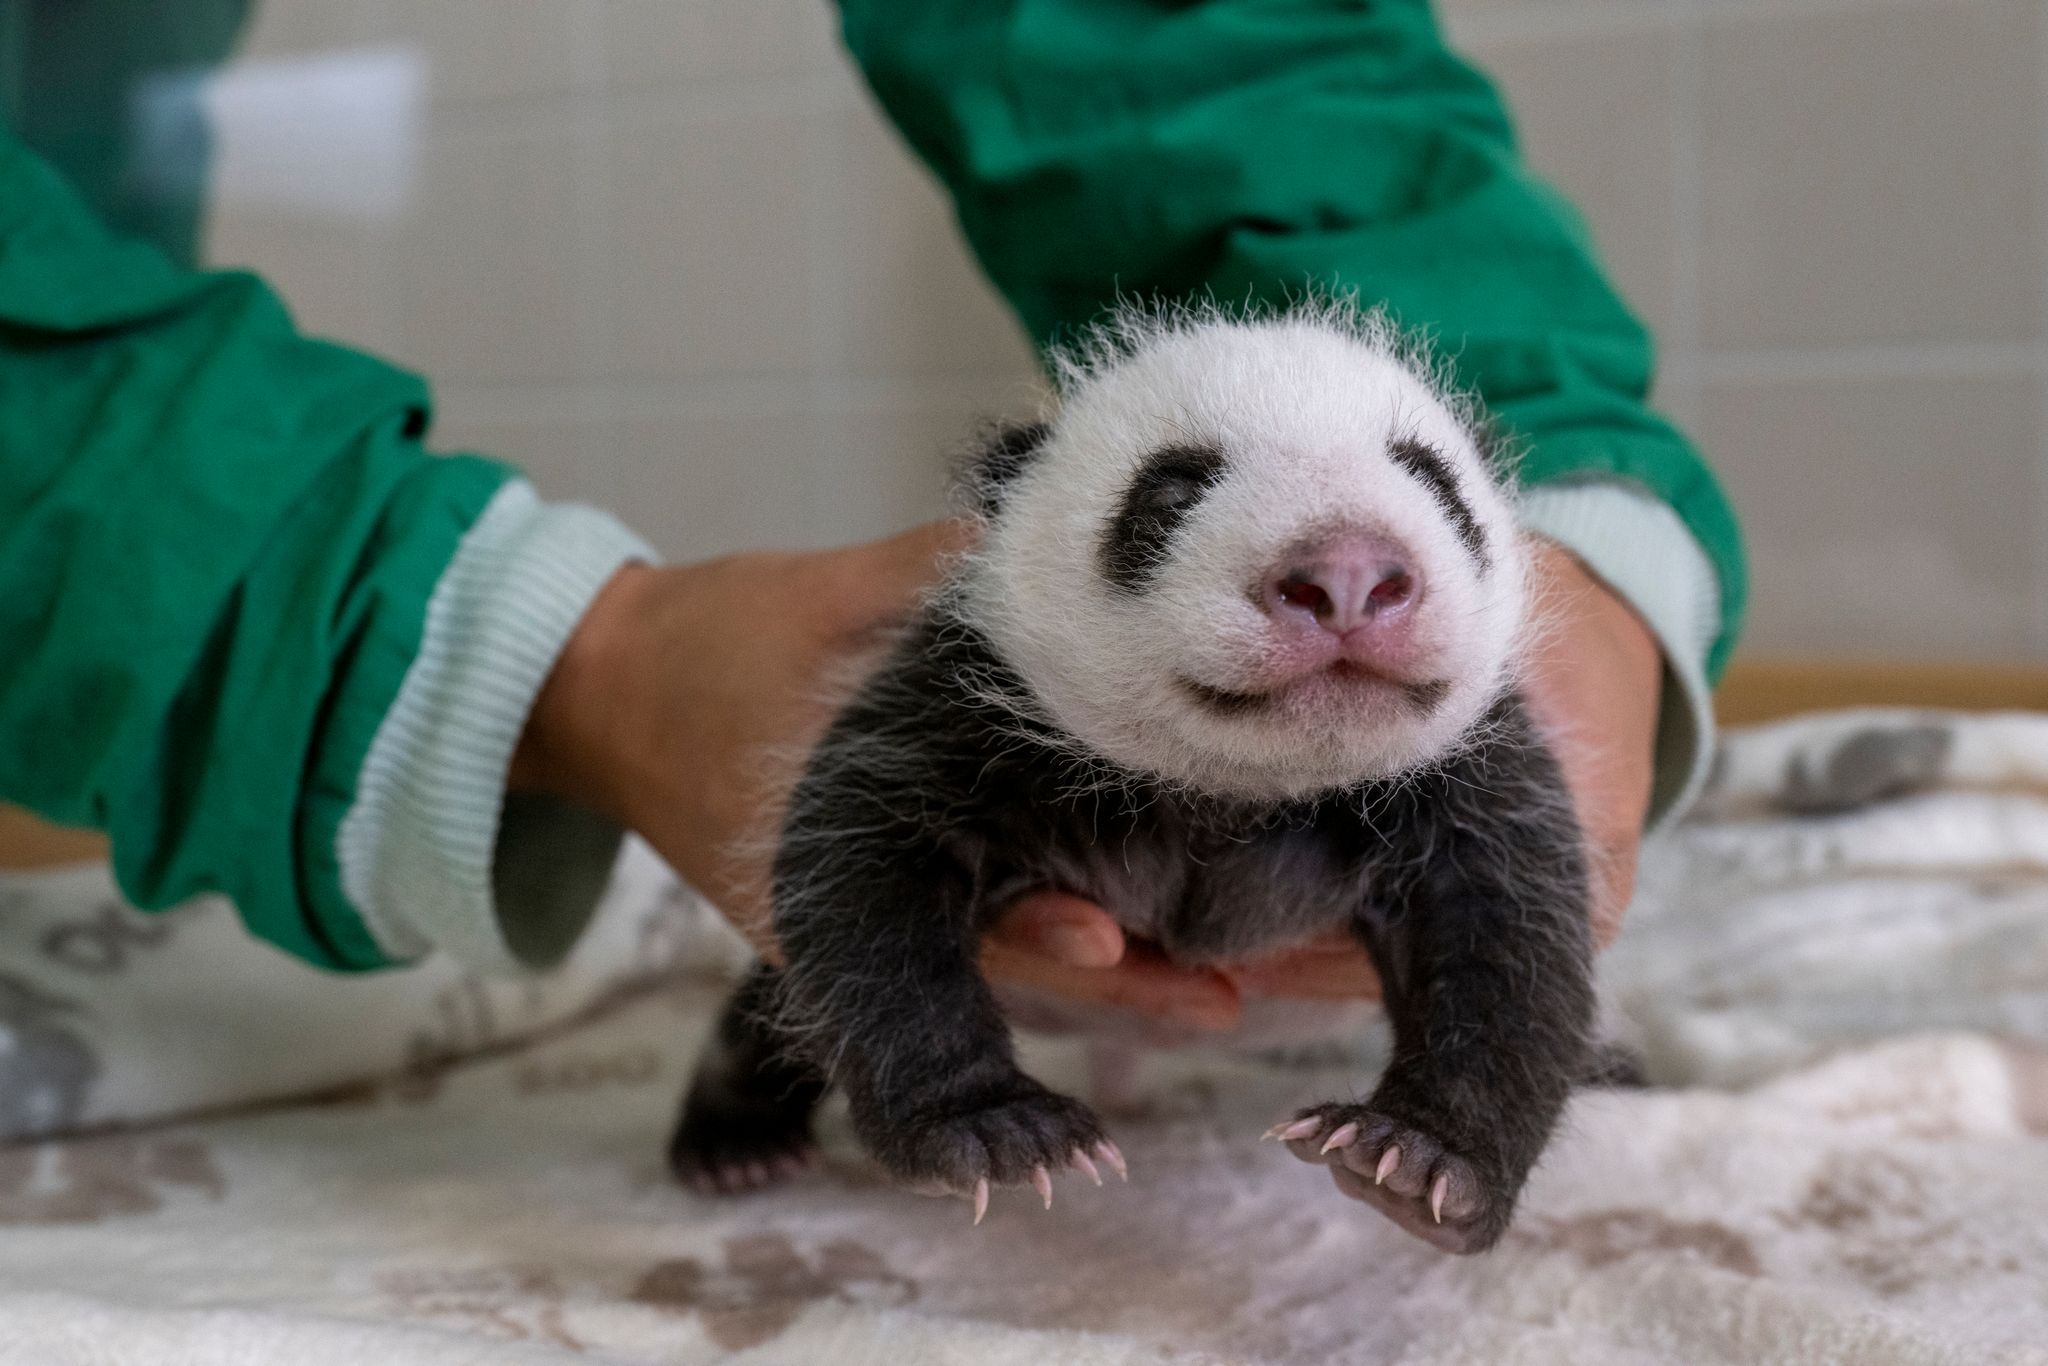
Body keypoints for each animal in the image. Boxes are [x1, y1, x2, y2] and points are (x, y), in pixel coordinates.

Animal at [670, 301, 1598, 1256]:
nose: (1347, 573)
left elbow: (1511, 939)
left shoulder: (1464, 773)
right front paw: (993, 1129)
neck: (1240, 789)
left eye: (1434, 482)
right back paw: (736, 1143)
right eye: (1171, 492)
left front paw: (1419, 1158)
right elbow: (864, 872)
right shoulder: (972, 709)